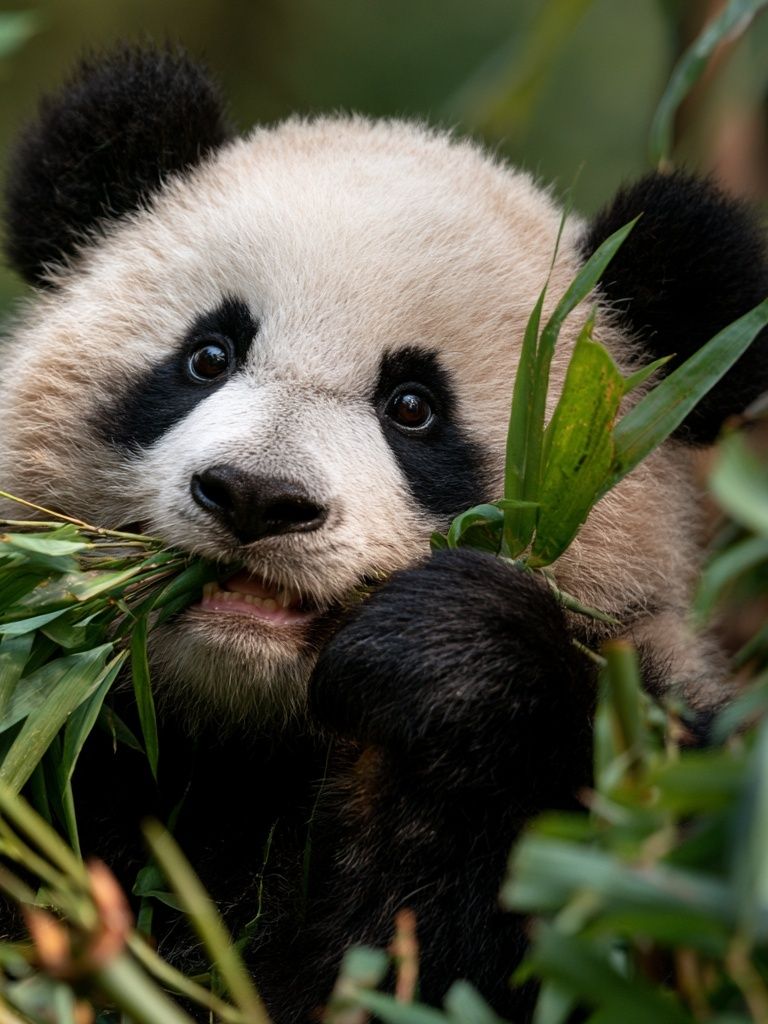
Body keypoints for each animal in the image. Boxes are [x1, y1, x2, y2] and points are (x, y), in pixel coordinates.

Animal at [0, 43, 767, 1022]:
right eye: (208, 356)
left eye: (413, 408)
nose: (257, 497)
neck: (253, 737)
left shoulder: (654, 731)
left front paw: (448, 656)